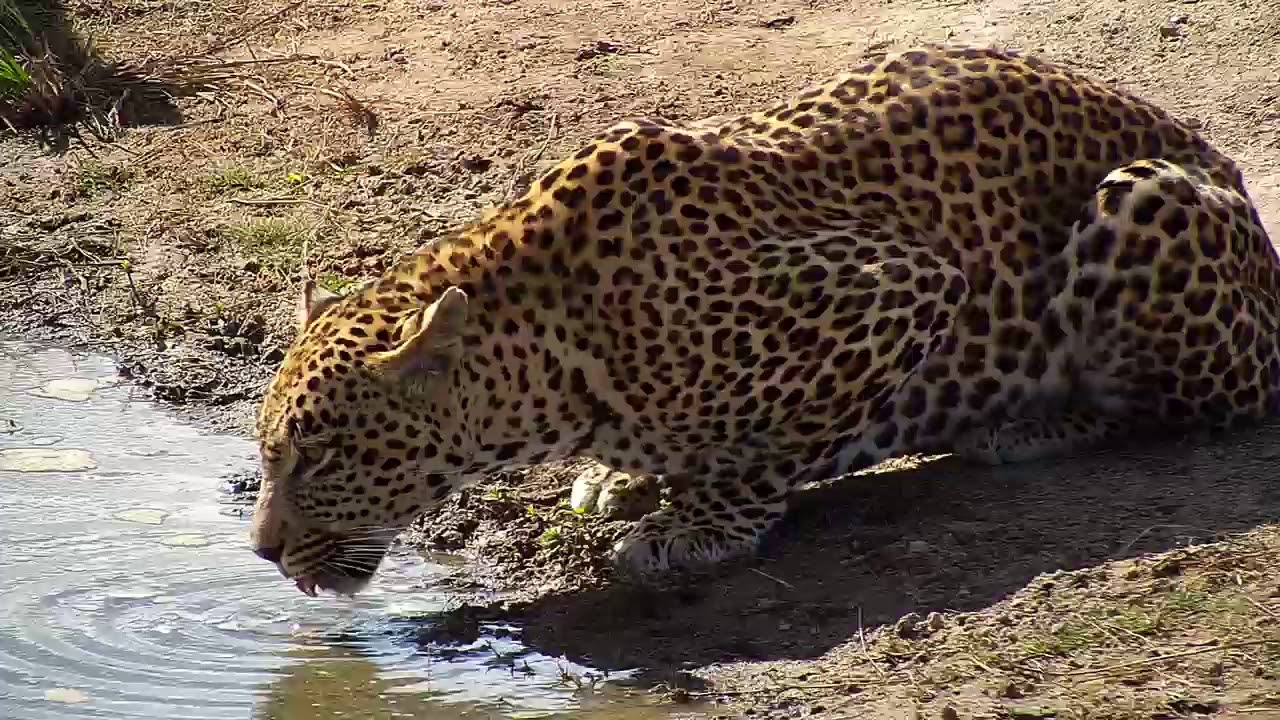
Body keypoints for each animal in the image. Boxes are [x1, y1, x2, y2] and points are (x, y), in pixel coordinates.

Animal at [246, 44, 1280, 598]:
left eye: (322, 459)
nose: (260, 552)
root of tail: (1221, 161)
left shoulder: (900, 286)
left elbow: (774, 449)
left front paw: (697, 525)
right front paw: (623, 482)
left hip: (1142, 199)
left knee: (1208, 404)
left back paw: (1029, 425)